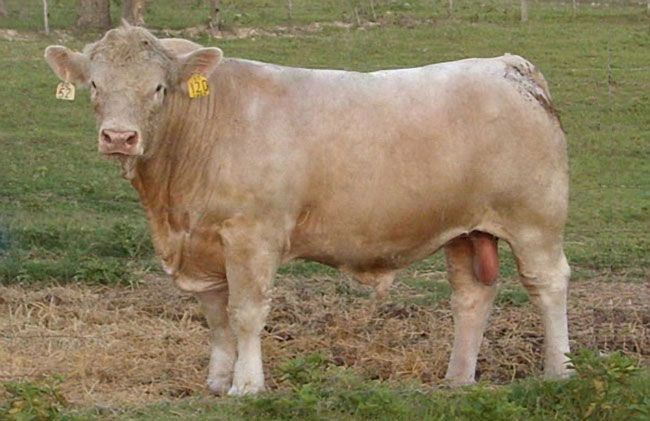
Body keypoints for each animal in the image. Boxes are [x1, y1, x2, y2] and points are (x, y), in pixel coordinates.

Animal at [44, 24, 570, 395]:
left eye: (157, 88)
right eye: (94, 85)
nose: (119, 137)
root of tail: (507, 66)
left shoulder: (252, 234)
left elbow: (246, 312)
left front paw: (246, 386)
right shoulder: (204, 243)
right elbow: (216, 316)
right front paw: (216, 381)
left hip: (535, 221)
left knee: (548, 284)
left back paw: (559, 372)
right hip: (464, 230)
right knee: (471, 297)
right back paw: (458, 380)